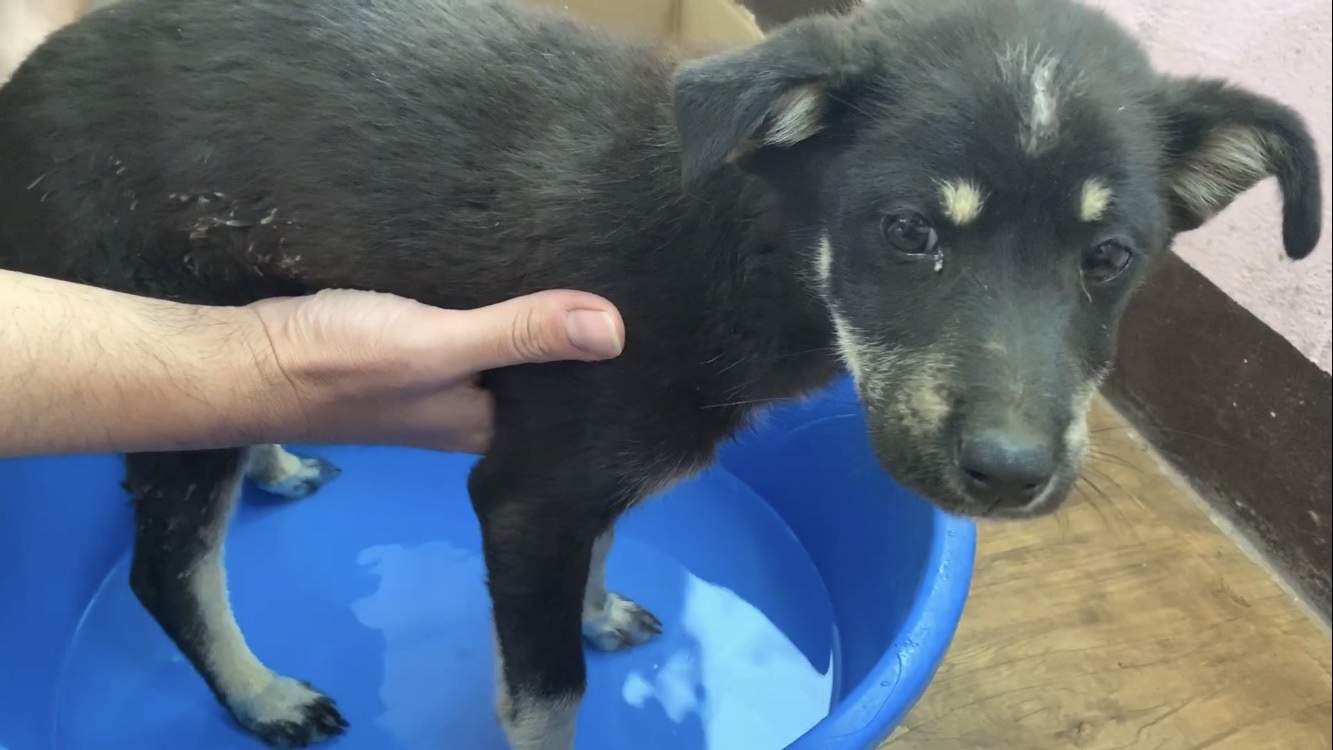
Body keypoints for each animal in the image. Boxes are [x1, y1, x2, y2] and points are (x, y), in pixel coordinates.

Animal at [0, 0, 1322, 747]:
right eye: (907, 234)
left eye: (1109, 259)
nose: (1009, 476)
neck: (741, 238)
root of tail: (24, 89)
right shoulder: (523, 495)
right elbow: (549, 696)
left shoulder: (588, 486)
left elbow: (602, 547)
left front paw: (600, 606)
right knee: (168, 571)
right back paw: (259, 692)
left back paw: (273, 459)